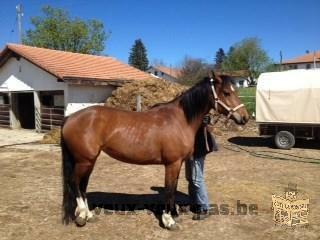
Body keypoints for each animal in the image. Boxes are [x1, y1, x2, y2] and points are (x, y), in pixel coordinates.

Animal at [60, 72, 250, 230]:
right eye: (226, 92)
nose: (245, 117)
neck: (180, 119)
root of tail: (70, 118)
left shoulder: (178, 163)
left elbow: (173, 187)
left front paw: (174, 214)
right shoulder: (172, 163)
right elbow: (169, 189)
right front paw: (169, 220)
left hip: (88, 161)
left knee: (82, 185)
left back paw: (89, 214)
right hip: (84, 160)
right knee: (74, 182)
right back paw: (82, 215)